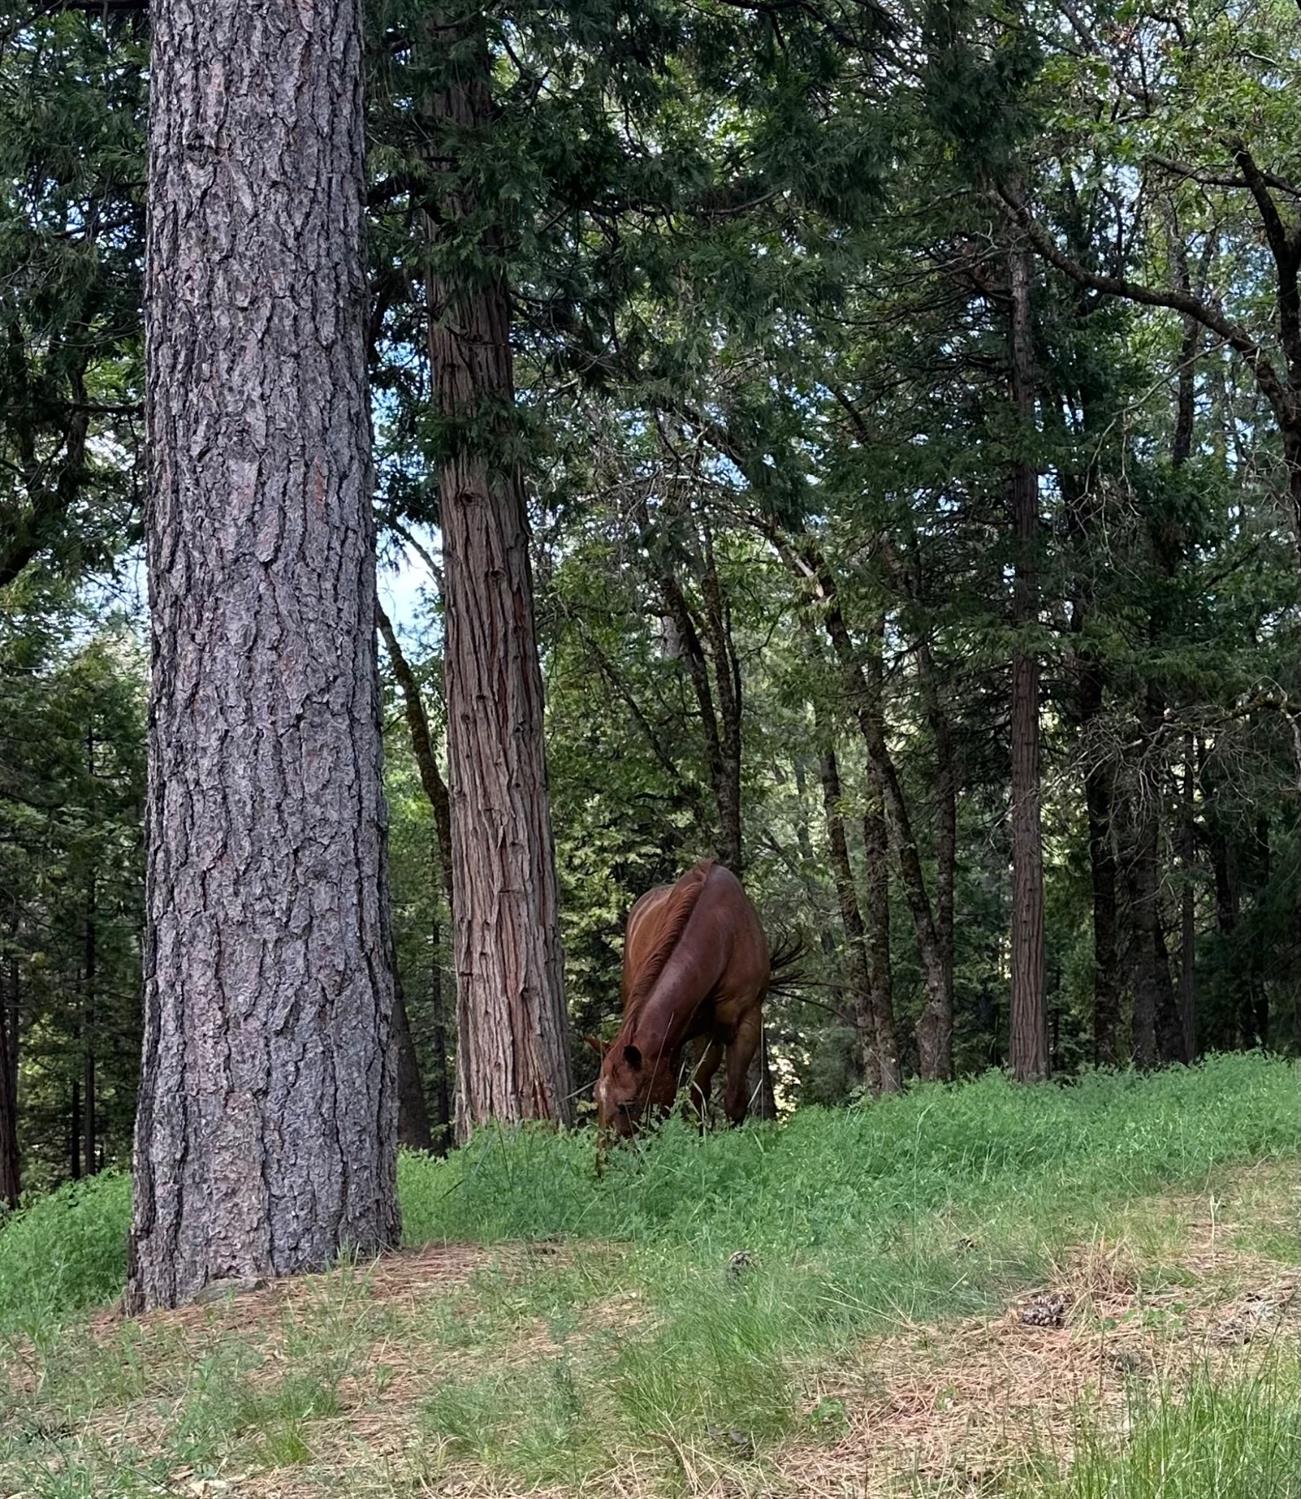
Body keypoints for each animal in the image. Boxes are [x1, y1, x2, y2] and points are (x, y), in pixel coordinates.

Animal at [590, 863, 773, 1139]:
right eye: (598, 1099)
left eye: (627, 1104)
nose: (606, 1151)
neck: (723, 933)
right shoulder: (678, 1037)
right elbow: (693, 1091)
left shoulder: (746, 1021)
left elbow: (733, 1097)